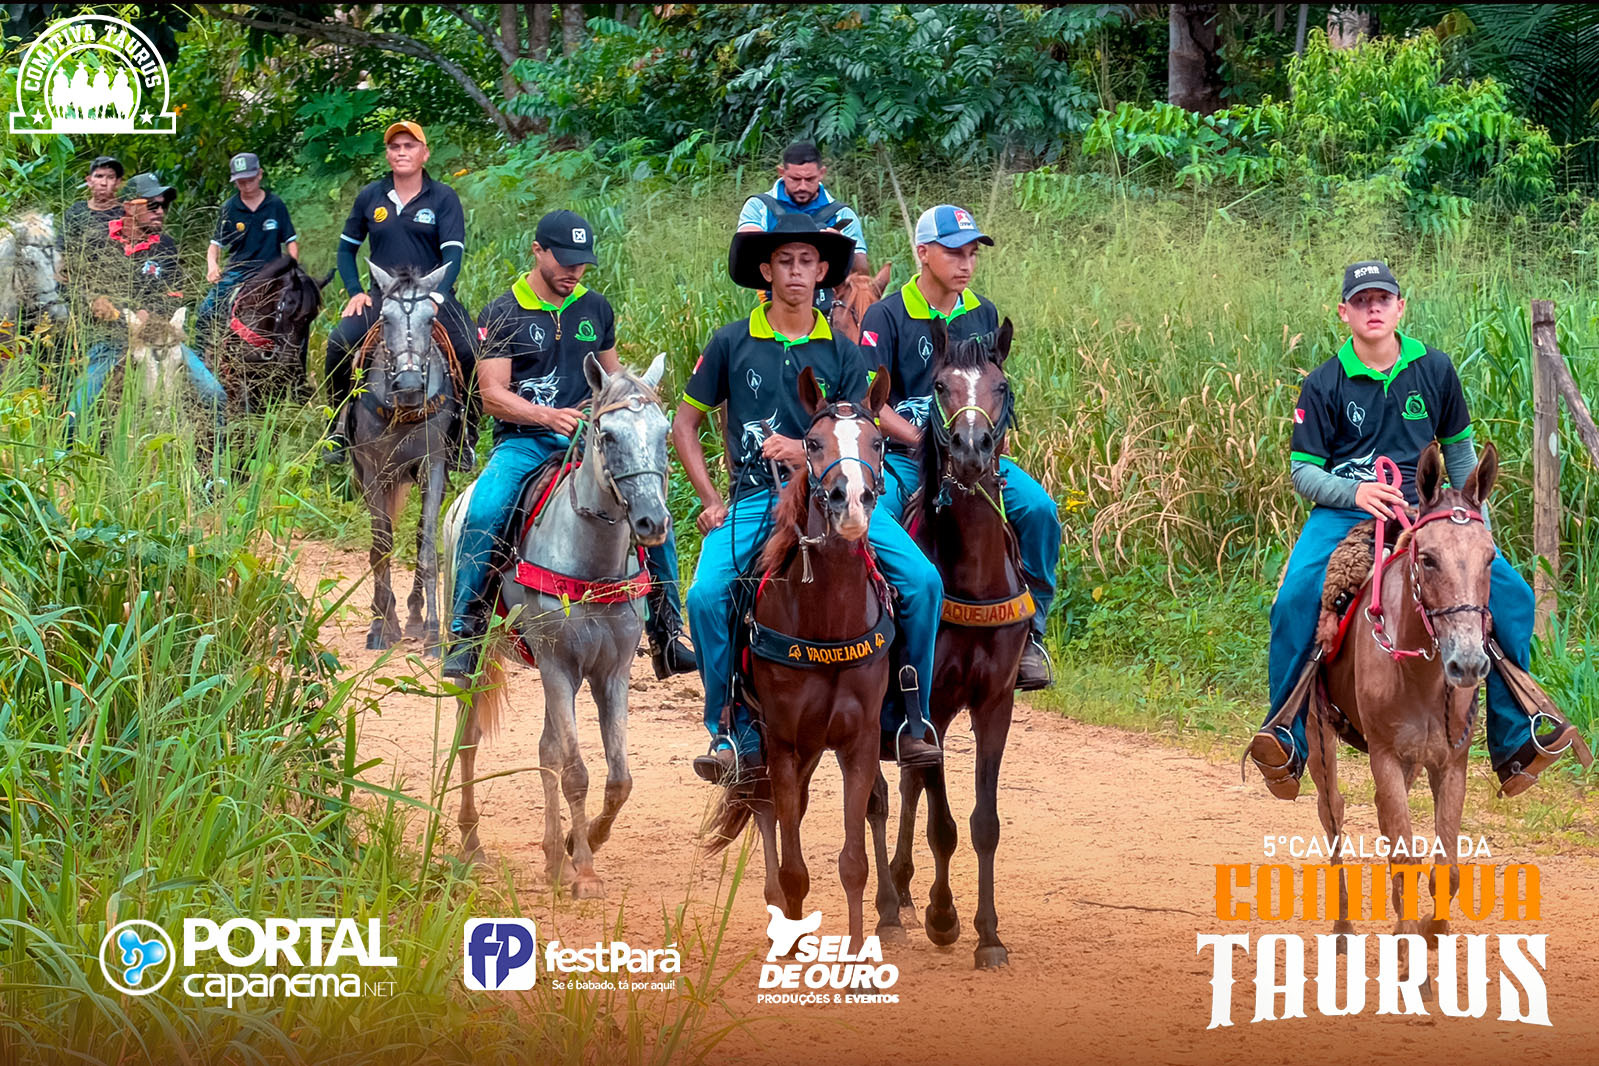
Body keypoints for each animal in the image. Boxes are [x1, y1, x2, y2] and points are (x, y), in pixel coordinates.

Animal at [348, 261, 462, 655]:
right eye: (385, 317)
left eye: (431, 318)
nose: (411, 385)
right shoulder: (371, 471)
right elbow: (380, 548)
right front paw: (382, 627)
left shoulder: (434, 466)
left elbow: (426, 548)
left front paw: (431, 632)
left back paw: (413, 614)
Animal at [442, 353, 671, 895]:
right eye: (607, 435)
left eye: (664, 431)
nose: (652, 523)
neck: (591, 563)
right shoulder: (558, 666)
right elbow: (576, 773)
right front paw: (584, 872)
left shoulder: (611, 673)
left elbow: (617, 779)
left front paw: (576, 845)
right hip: (477, 656)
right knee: (468, 737)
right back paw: (472, 846)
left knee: (546, 749)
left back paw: (551, 857)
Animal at [706, 365, 896, 947]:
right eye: (813, 443)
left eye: (877, 441)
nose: (849, 499)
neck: (827, 620)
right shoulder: (784, 741)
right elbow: (793, 867)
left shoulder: (859, 742)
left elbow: (853, 863)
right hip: (764, 744)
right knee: (766, 808)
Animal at [1307, 443, 1501, 986]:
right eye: (1428, 558)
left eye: (1490, 557)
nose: (1468, 664)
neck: (1418, 671)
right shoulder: (1385, 756)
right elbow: (1404, 858)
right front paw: (1415, 966)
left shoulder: (1450, 762)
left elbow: (1446, 866)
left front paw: (1432, 934)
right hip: (1319, 739)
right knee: (1333, 815)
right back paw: (1344, 928)